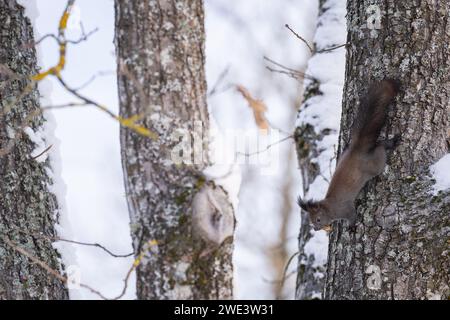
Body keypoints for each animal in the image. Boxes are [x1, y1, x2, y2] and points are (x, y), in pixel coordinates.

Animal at [298, 79, 400, 231]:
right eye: (311, 221)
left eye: (318, 219)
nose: (316, 229)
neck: (329, 207)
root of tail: (356, 149)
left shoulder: (345, 209)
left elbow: (352, 216)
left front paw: (351, 227)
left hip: (374, 165)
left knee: (380, 149)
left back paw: (390, 143)